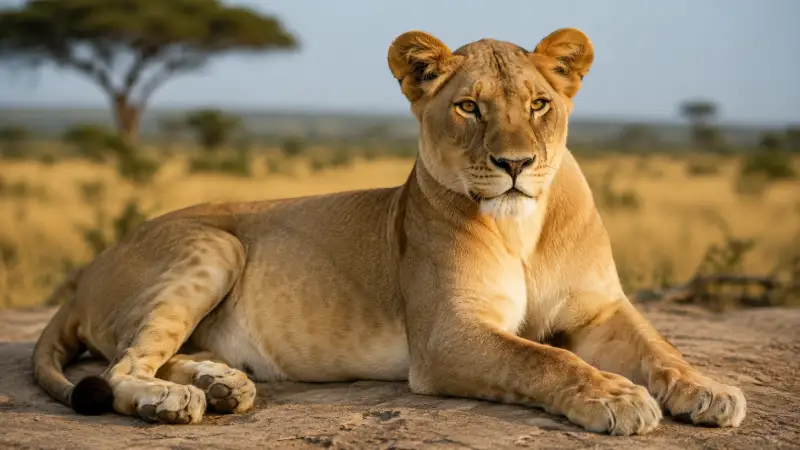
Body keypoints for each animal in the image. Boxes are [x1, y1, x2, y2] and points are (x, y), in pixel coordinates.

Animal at [32, 28, 746, 435]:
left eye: (540, 104)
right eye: (469, 107)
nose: (515, 164)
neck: (524, 228)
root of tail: (87, 275)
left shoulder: (597, 309)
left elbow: (661, 348)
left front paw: (710, 391)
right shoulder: (447, 336)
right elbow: (546, 358)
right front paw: (617, 397)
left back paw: (223, 385)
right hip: (215, 243)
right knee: (123, 366)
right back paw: (174, 401)